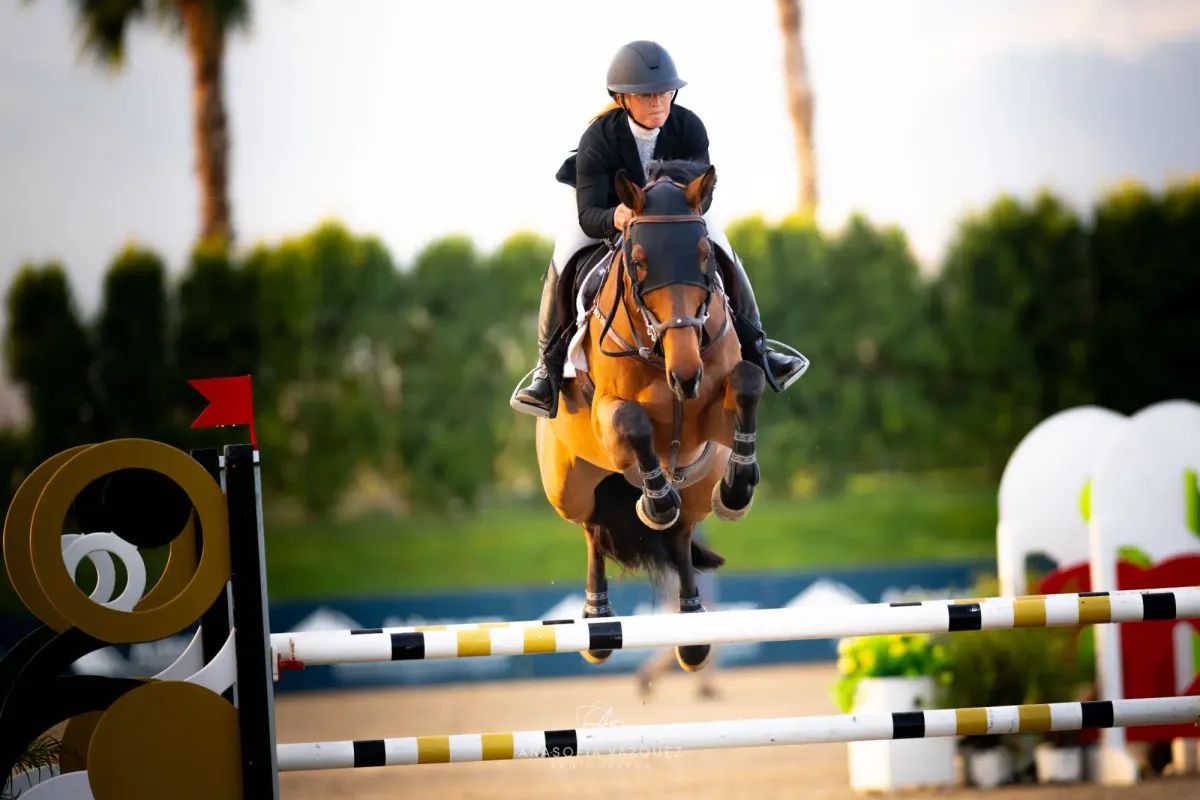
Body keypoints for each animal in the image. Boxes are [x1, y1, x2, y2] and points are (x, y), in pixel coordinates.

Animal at [536, 160, 766, 671]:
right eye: (639, 261)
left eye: (704, 257)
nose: (685, 375)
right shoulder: (606, 419)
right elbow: (633, 424)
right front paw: (656, 501)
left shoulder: (713, 413)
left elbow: (747, 383)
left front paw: (738, 488)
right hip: (569, 486)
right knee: (594, 528)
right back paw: (598, 622)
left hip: (697, 482)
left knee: (681, 535)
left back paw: (693, 630)